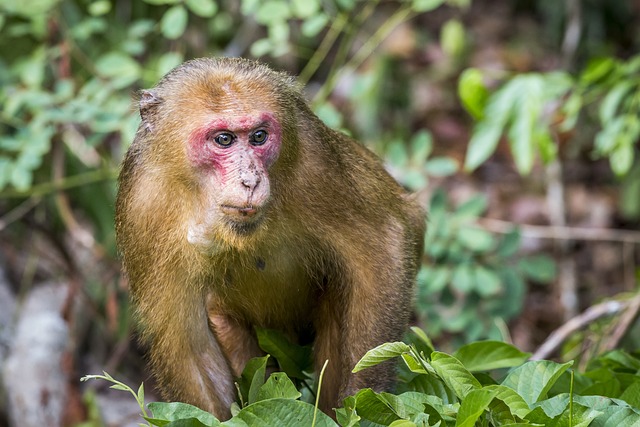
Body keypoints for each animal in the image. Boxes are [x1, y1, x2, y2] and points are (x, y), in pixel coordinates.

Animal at [116, 57, 424, 422]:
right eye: (223, 139)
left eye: (259, 137)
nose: (250, 180)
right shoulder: (142, 205)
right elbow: (187, 349)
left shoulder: (314, 159)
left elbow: (384, 243)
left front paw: (361, 407)